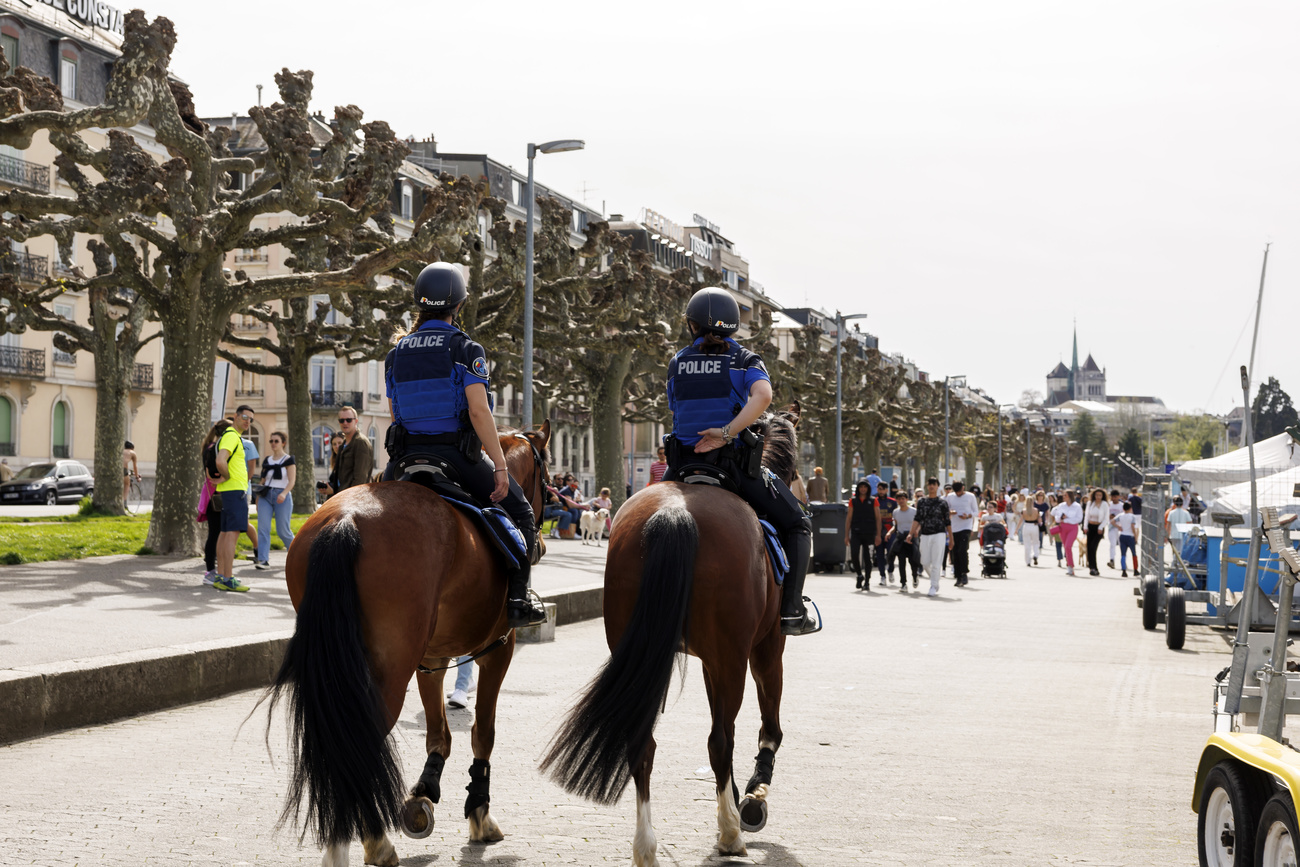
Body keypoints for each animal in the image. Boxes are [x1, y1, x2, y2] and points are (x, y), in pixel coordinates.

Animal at [263, 421, 548, 867]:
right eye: (546, 476)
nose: (541, 543)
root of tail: (343, 520)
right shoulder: (498, 648)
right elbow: (483, 732)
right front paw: (479, 812)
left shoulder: (431, 658)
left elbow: (439, 733)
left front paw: (425, 792)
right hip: (391, 672)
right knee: (357, 742)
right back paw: (371, 841)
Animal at [540, 408, 800, 867]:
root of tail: (675, 514)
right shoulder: (763, 647)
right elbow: (767, 727)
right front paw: (753, 797)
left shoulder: (710, 661)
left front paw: (737, 795)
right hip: (732, 657)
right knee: (720, 740)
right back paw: (730, 833)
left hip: (642, 654)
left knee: (642, 745)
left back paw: (646, 846)